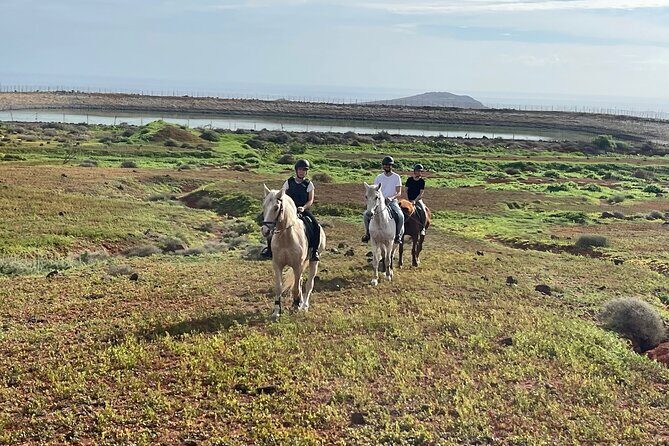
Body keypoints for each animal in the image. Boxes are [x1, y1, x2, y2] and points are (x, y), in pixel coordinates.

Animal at [261, 185, 326, 320]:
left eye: (276, 207)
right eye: (264, 206)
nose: (265, 230)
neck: (286, 237)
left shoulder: (297, 266)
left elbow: (296, 288)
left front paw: (296, 305)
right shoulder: (277, 265)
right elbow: (279, 287)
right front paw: (276, 311)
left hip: (313, 262)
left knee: (309, 284)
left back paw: (304, 305)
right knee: (300, 281)